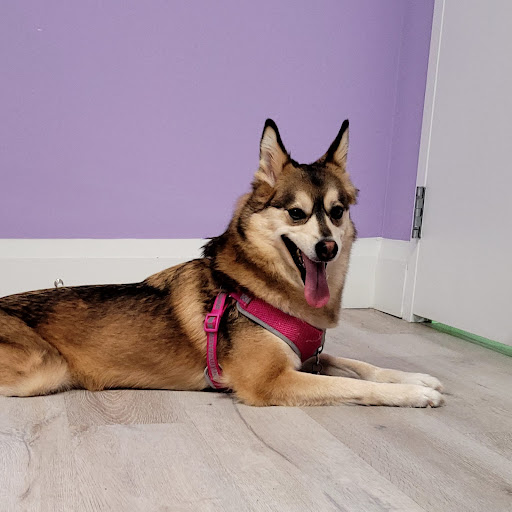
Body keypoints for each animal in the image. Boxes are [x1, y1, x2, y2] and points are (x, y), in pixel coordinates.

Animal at [0, 120, 444, 407]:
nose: (328, 248)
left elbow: (358, 364)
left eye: (337, 212)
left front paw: (414, 377)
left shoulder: (309, 358)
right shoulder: (270, 381)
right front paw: (409, 394)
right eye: (296, 214)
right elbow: (350, 386)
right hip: (46, 368)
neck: (261, 287)